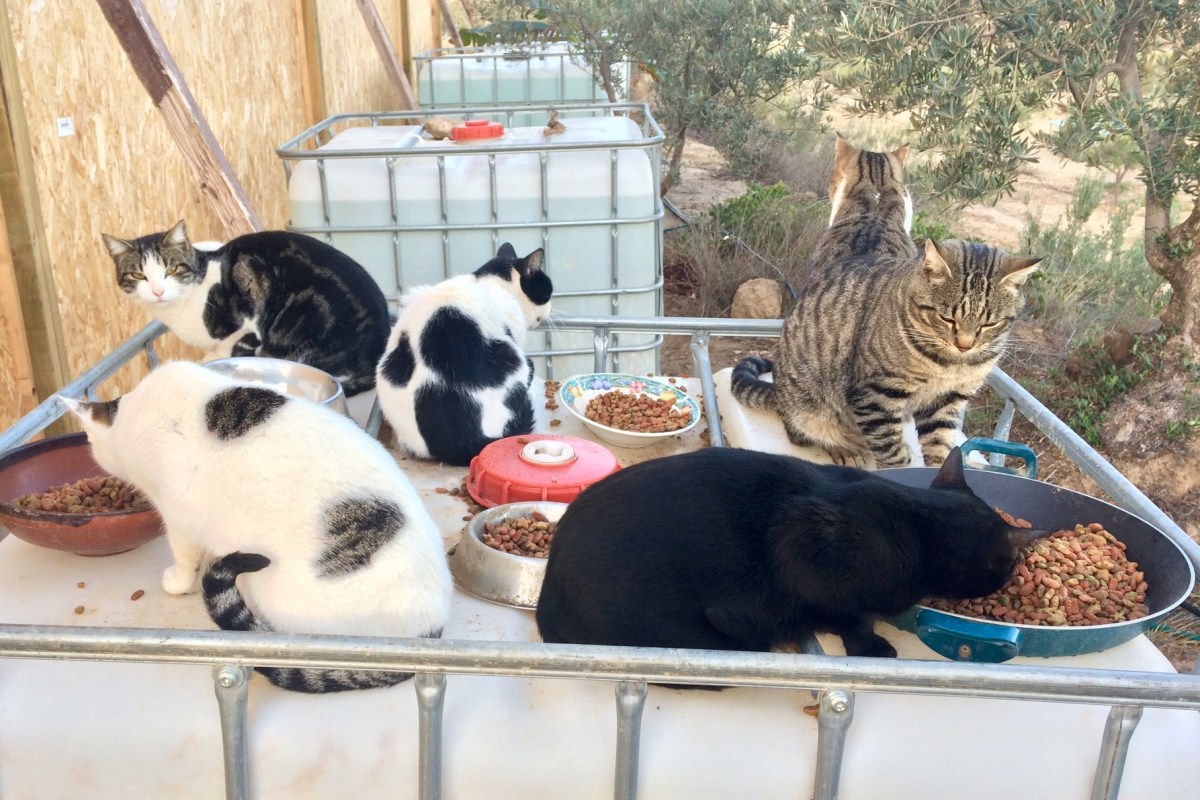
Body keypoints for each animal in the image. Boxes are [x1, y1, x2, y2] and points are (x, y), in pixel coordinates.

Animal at [536, 446, 1048, 661]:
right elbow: (854, 617)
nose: (1010, 576)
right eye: (1007, 567)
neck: (917, 523)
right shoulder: (804, 539)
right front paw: (872, 647)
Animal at [731, 136, 1040, 468]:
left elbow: (941, 446)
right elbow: (892, 452)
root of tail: (778, 393)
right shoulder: (875, 394)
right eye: (946, 318)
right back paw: (842, 447)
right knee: (801, 433)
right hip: (807, 407)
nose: (964, 345)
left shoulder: (948, 400)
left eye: (989, 323)